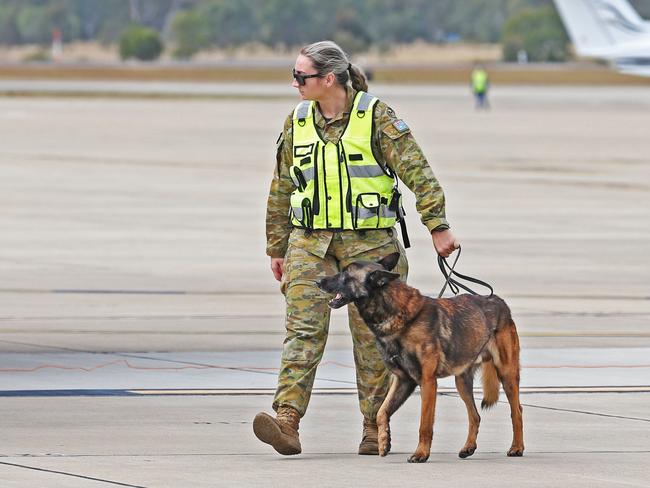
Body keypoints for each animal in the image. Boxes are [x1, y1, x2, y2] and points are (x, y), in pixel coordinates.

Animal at [316, 254, 524, 464]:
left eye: (346, 274)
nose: (318, 281)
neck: (395, 313)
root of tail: (499, 301)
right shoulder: (404, 381)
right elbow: (382, 412)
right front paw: (383, 441)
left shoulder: (427, 382)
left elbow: (424, 424)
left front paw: (421, 453)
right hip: (462, 382)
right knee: (475, 416)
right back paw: (468, 447)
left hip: (507, 375)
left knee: (517, 411)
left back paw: (517, 447)